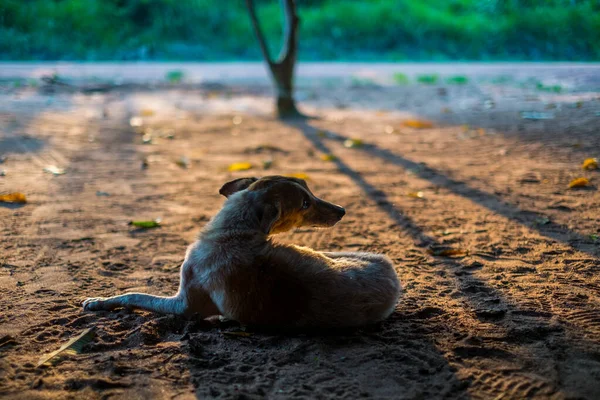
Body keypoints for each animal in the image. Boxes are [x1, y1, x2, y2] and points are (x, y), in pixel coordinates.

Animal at [83, 177, 404, 326]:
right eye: (306, 201)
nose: (342, 210)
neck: (234, 230)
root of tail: (392, 275)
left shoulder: (183, 304)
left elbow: (132, 294)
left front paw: (98, 301)